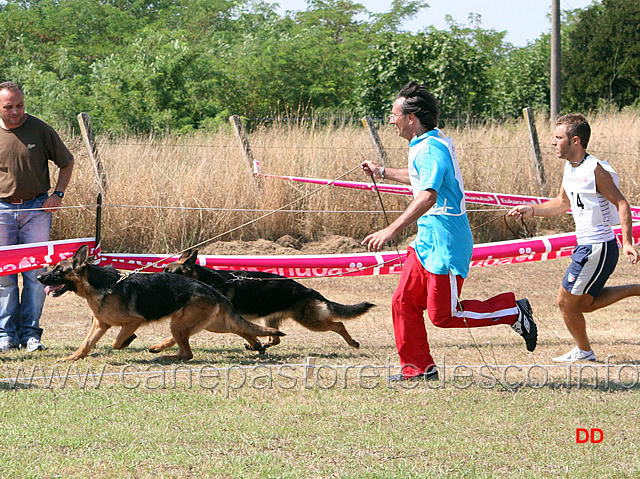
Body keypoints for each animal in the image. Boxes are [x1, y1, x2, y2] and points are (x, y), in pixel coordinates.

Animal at [35, 246, 282, 362]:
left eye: (58, 270)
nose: (38, 277)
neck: (99, 285)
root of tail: (211, 289)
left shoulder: (132, 321)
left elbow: (116, 342)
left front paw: (128, 341)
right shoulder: (100, 324)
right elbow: (85, 345)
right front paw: (73, 358)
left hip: (180, 325)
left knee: (187, 353)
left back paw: (164, 356)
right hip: (213, 324)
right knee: (243, 329)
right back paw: (257, 345)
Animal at [162, 251, 378, 348]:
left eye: (168, 272)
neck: (207, 279)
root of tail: (307, 289)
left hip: (310, 321)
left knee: (338, 324)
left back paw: (352, 343)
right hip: (273, 319)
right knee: (275, 338)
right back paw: (261, 345)